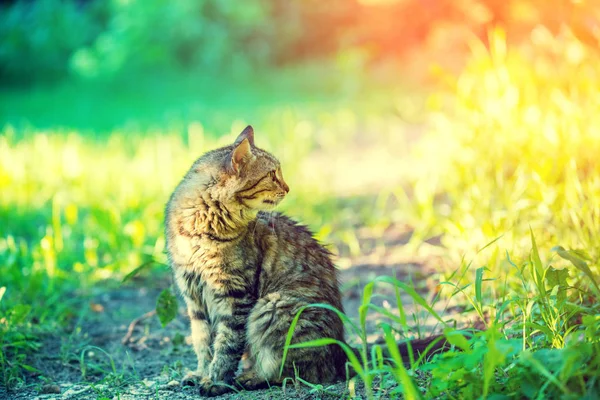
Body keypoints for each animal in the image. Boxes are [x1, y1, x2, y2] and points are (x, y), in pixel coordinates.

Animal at [166, 126, 350, 396]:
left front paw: (216, 381)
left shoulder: (234, 295)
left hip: (272, 306)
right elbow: (203, 343)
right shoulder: (194, 295)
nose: (287, 187)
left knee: (292, 371)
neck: (199, 225)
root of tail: (343, 350)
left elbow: (227, 346)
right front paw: (201, 373)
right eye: (272, 175)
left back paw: (250, 378)